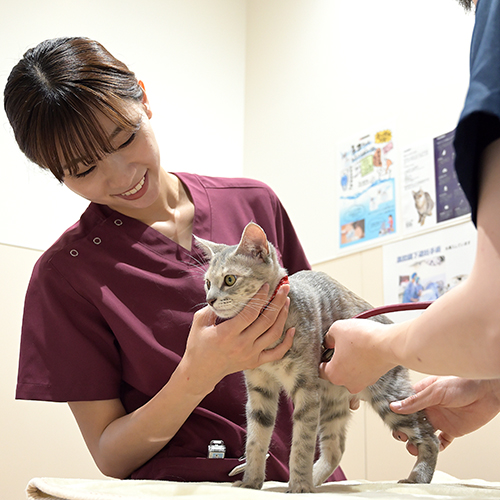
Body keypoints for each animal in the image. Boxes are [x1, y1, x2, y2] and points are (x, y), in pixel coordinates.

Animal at [195, 222, 438, 492]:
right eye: (207, 283)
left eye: (230, 279)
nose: (210, 300)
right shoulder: (259, 387)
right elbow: (256, 439)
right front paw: (251, 482)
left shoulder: (306, 388)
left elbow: (302, 442)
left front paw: (300, 485)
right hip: (332, 405)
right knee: (335, 449)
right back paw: (317, 477)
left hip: (390, 398)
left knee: (429, 435)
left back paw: (418, 476)